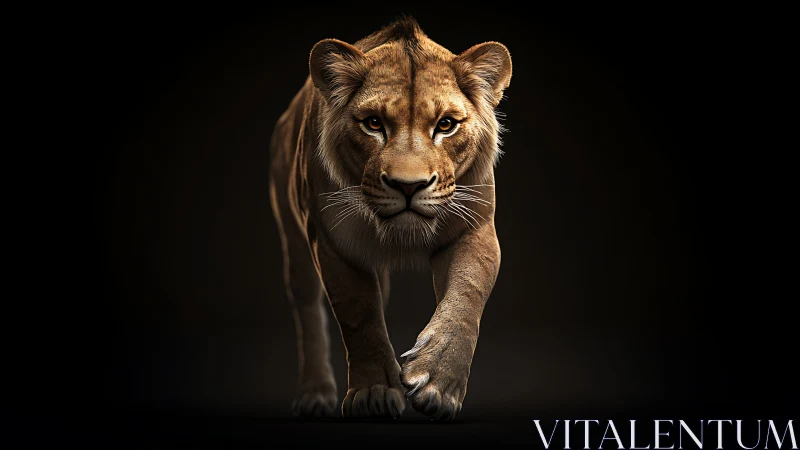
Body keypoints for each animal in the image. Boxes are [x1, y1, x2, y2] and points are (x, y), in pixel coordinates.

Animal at [268, 16, 511, 421]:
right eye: (373, 123)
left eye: (446, 124)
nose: (408, 185)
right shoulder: (332, 241)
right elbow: (357, 313)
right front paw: (374, 393)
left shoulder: (474, 228)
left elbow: (465, 298)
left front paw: (436, 385)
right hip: (293, 239)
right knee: (307, 305)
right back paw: (315, 393)